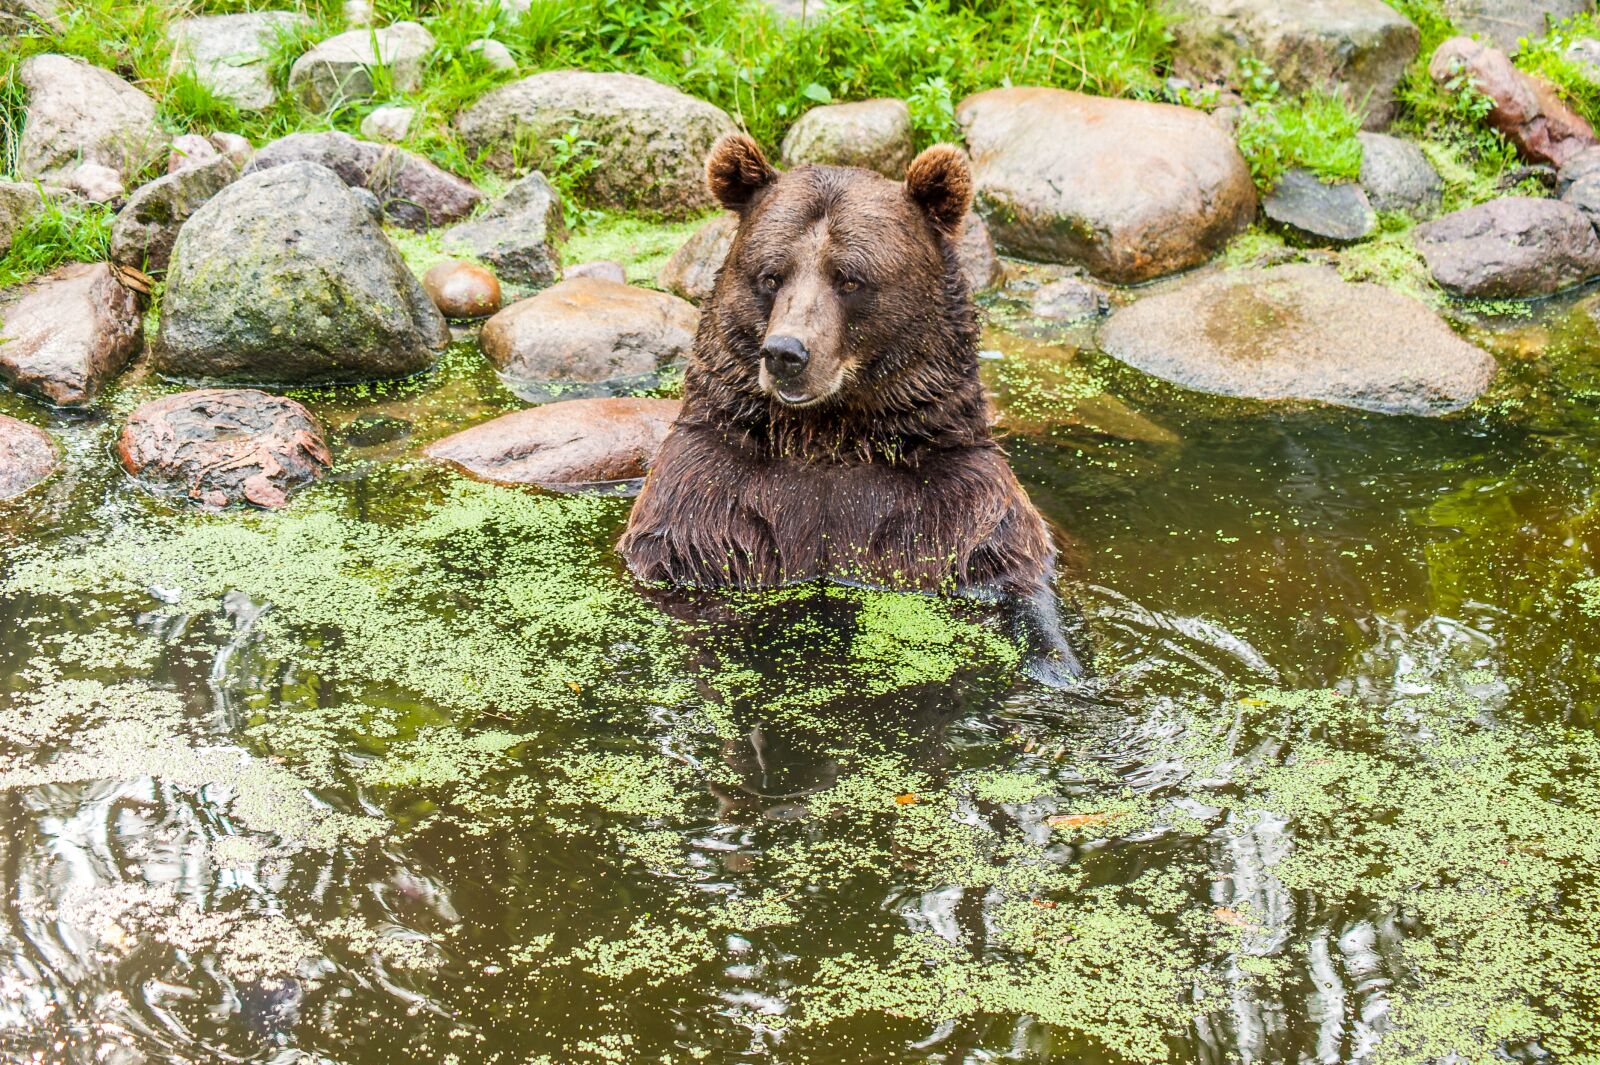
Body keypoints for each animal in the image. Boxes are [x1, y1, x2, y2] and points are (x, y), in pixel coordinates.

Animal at [617, 133, 1083, 685]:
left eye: (850, 278)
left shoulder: (952, 499)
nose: (786, 353)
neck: (829, 436)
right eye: (771, 275)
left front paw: (1058, 666)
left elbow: (1013, 577)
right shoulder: (709, 491)